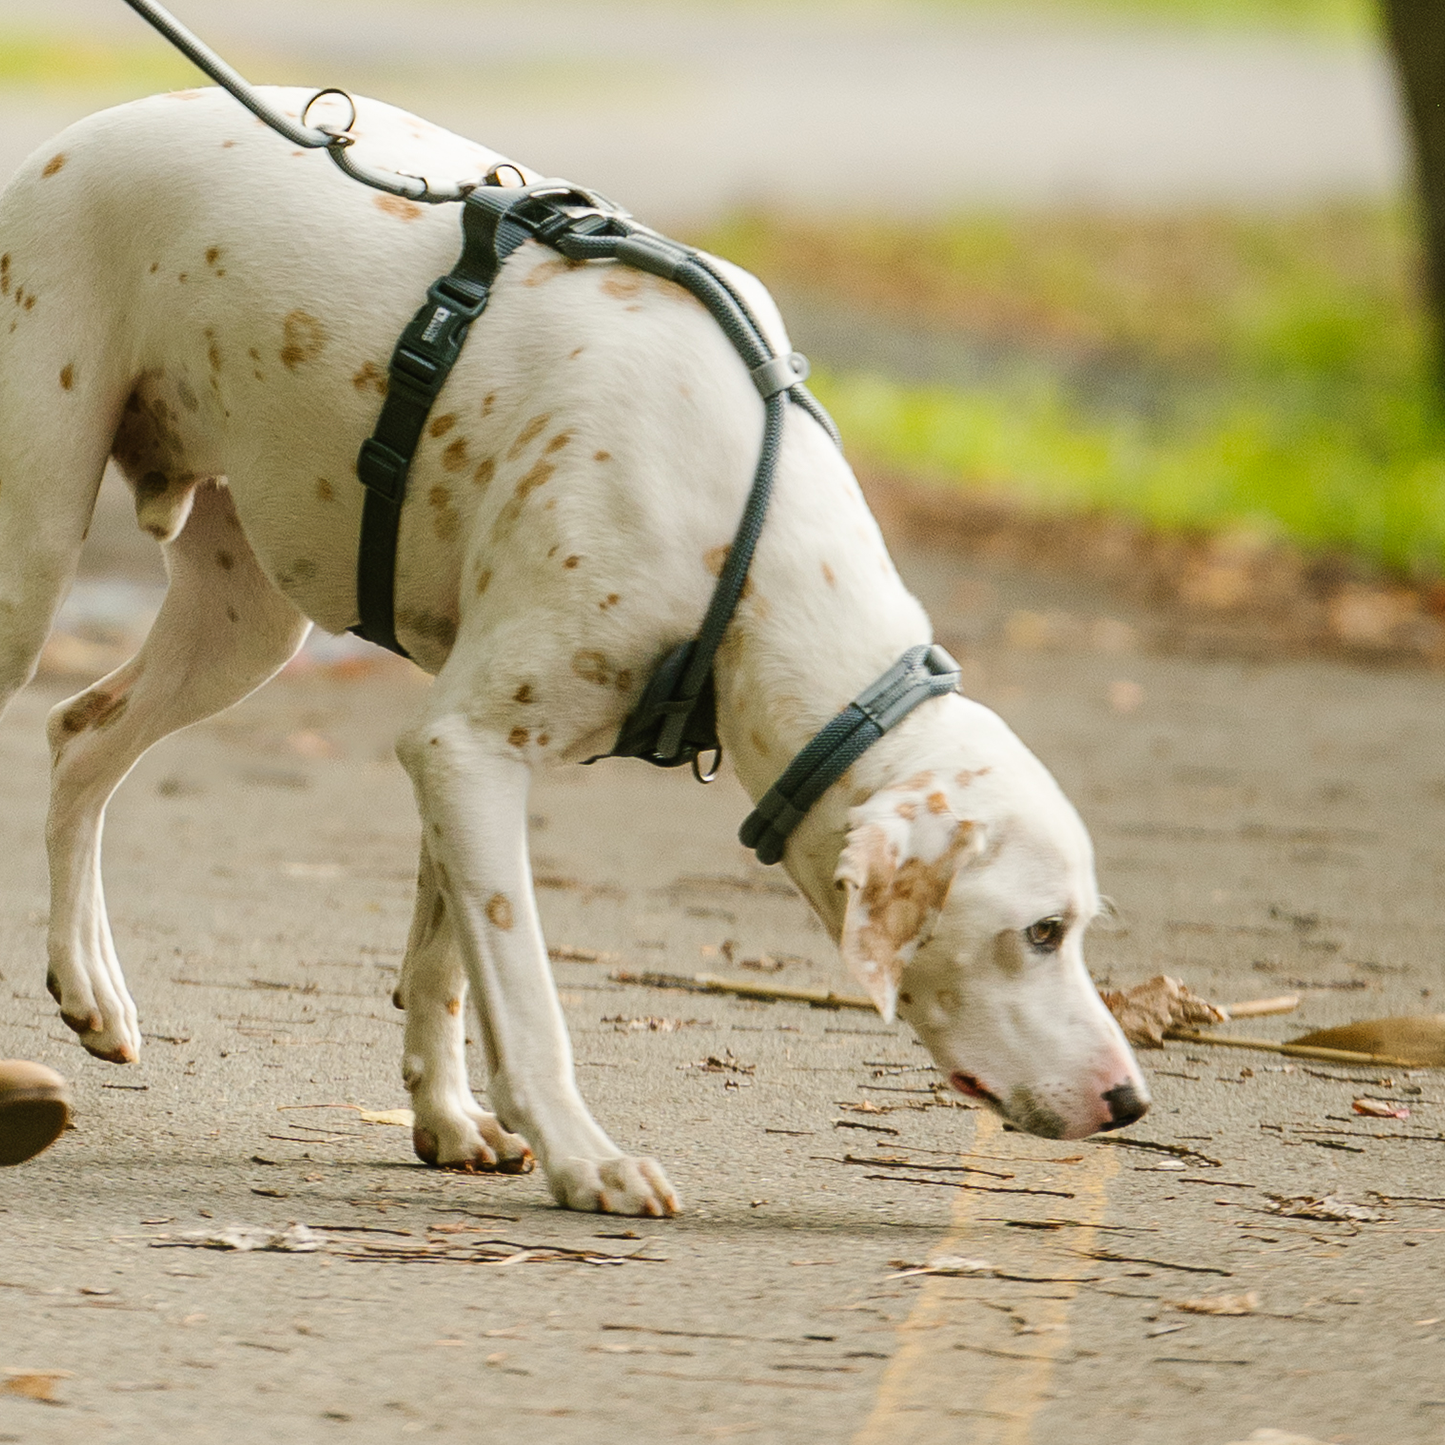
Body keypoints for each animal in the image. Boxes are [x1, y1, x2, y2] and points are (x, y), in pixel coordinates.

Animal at [2, 90, 1150, 1213]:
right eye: (1041, 930)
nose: (1131, 1099)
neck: (741, 542)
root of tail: (67, 141)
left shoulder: (455, 754)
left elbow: (442, 966)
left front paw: (448, 1117)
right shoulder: (468, 752)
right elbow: (525, 997)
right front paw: (585, 1158)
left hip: (242, 626)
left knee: (81, 737)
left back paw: (91, 987)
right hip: (34, 564)